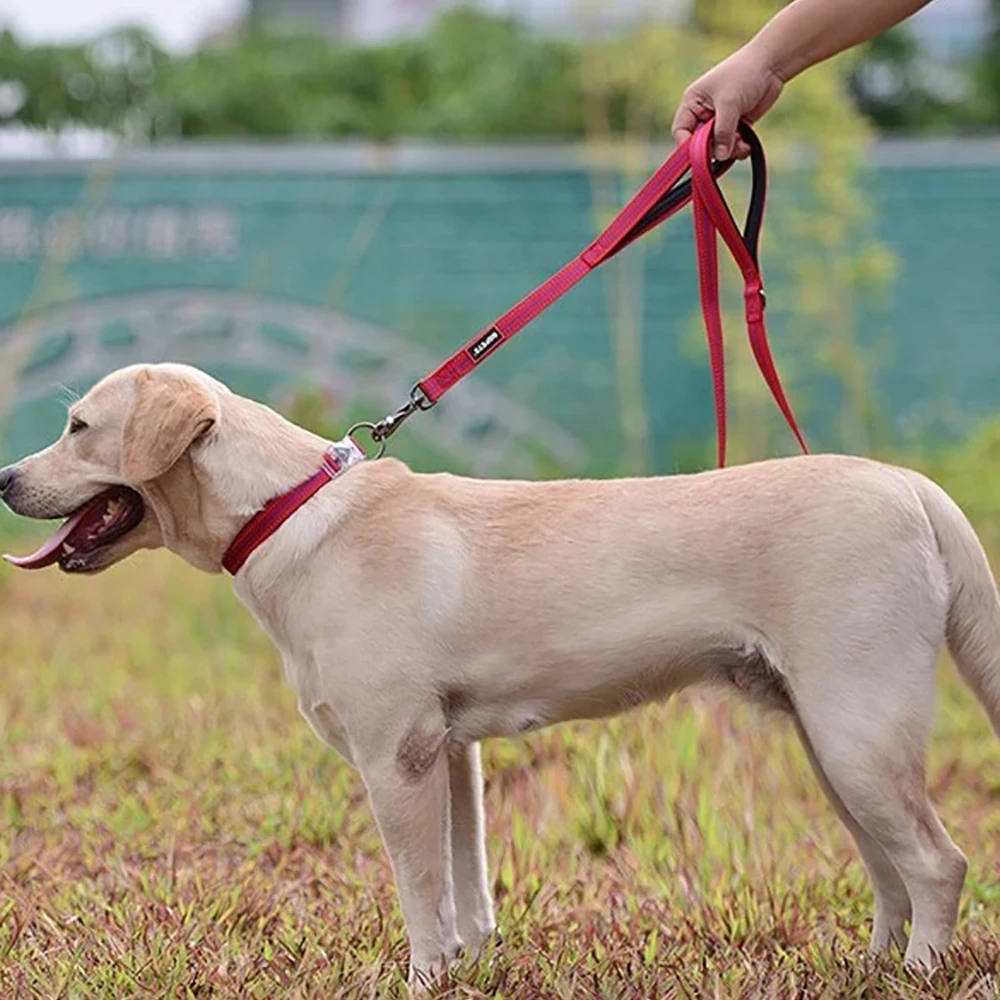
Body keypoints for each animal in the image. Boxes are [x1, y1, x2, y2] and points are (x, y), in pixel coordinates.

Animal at [1, 364, 1000, 988]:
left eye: (78, 428)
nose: (4, 477)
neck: (285, 512)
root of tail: (914, 486)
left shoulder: (395, 758)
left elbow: (419, 892)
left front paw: (419, 978)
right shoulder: (450, 754)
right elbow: (467, 888)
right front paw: (469, 968)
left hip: (858, 734)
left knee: (938, 865)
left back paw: (921, 974)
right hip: (833, 746)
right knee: (892, 873)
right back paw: (874, 969)